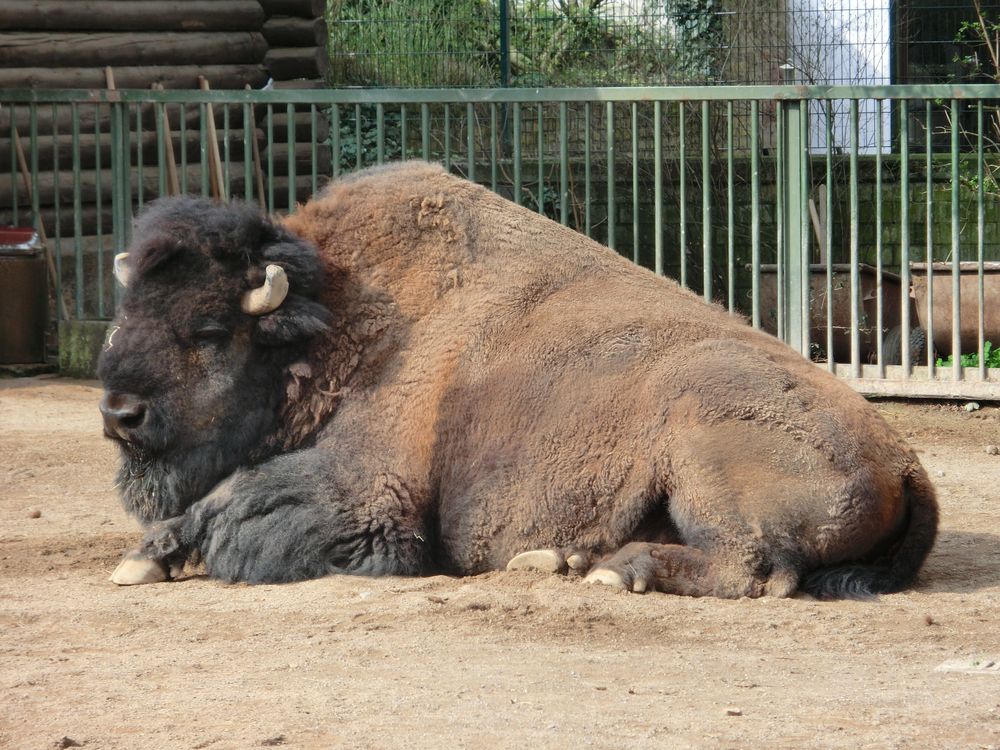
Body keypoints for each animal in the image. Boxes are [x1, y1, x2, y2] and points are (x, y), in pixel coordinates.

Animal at [99, 162, 936, 604]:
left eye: (210, 333)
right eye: (125, 312)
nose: (121, 414)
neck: (340, 318)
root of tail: (905, 461)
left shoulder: (371, 495)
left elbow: (233, 506)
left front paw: (156, 555)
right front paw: (146, 555)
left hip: (703, 446)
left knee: (757, 567)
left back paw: (612, 571)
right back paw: (564, 560)